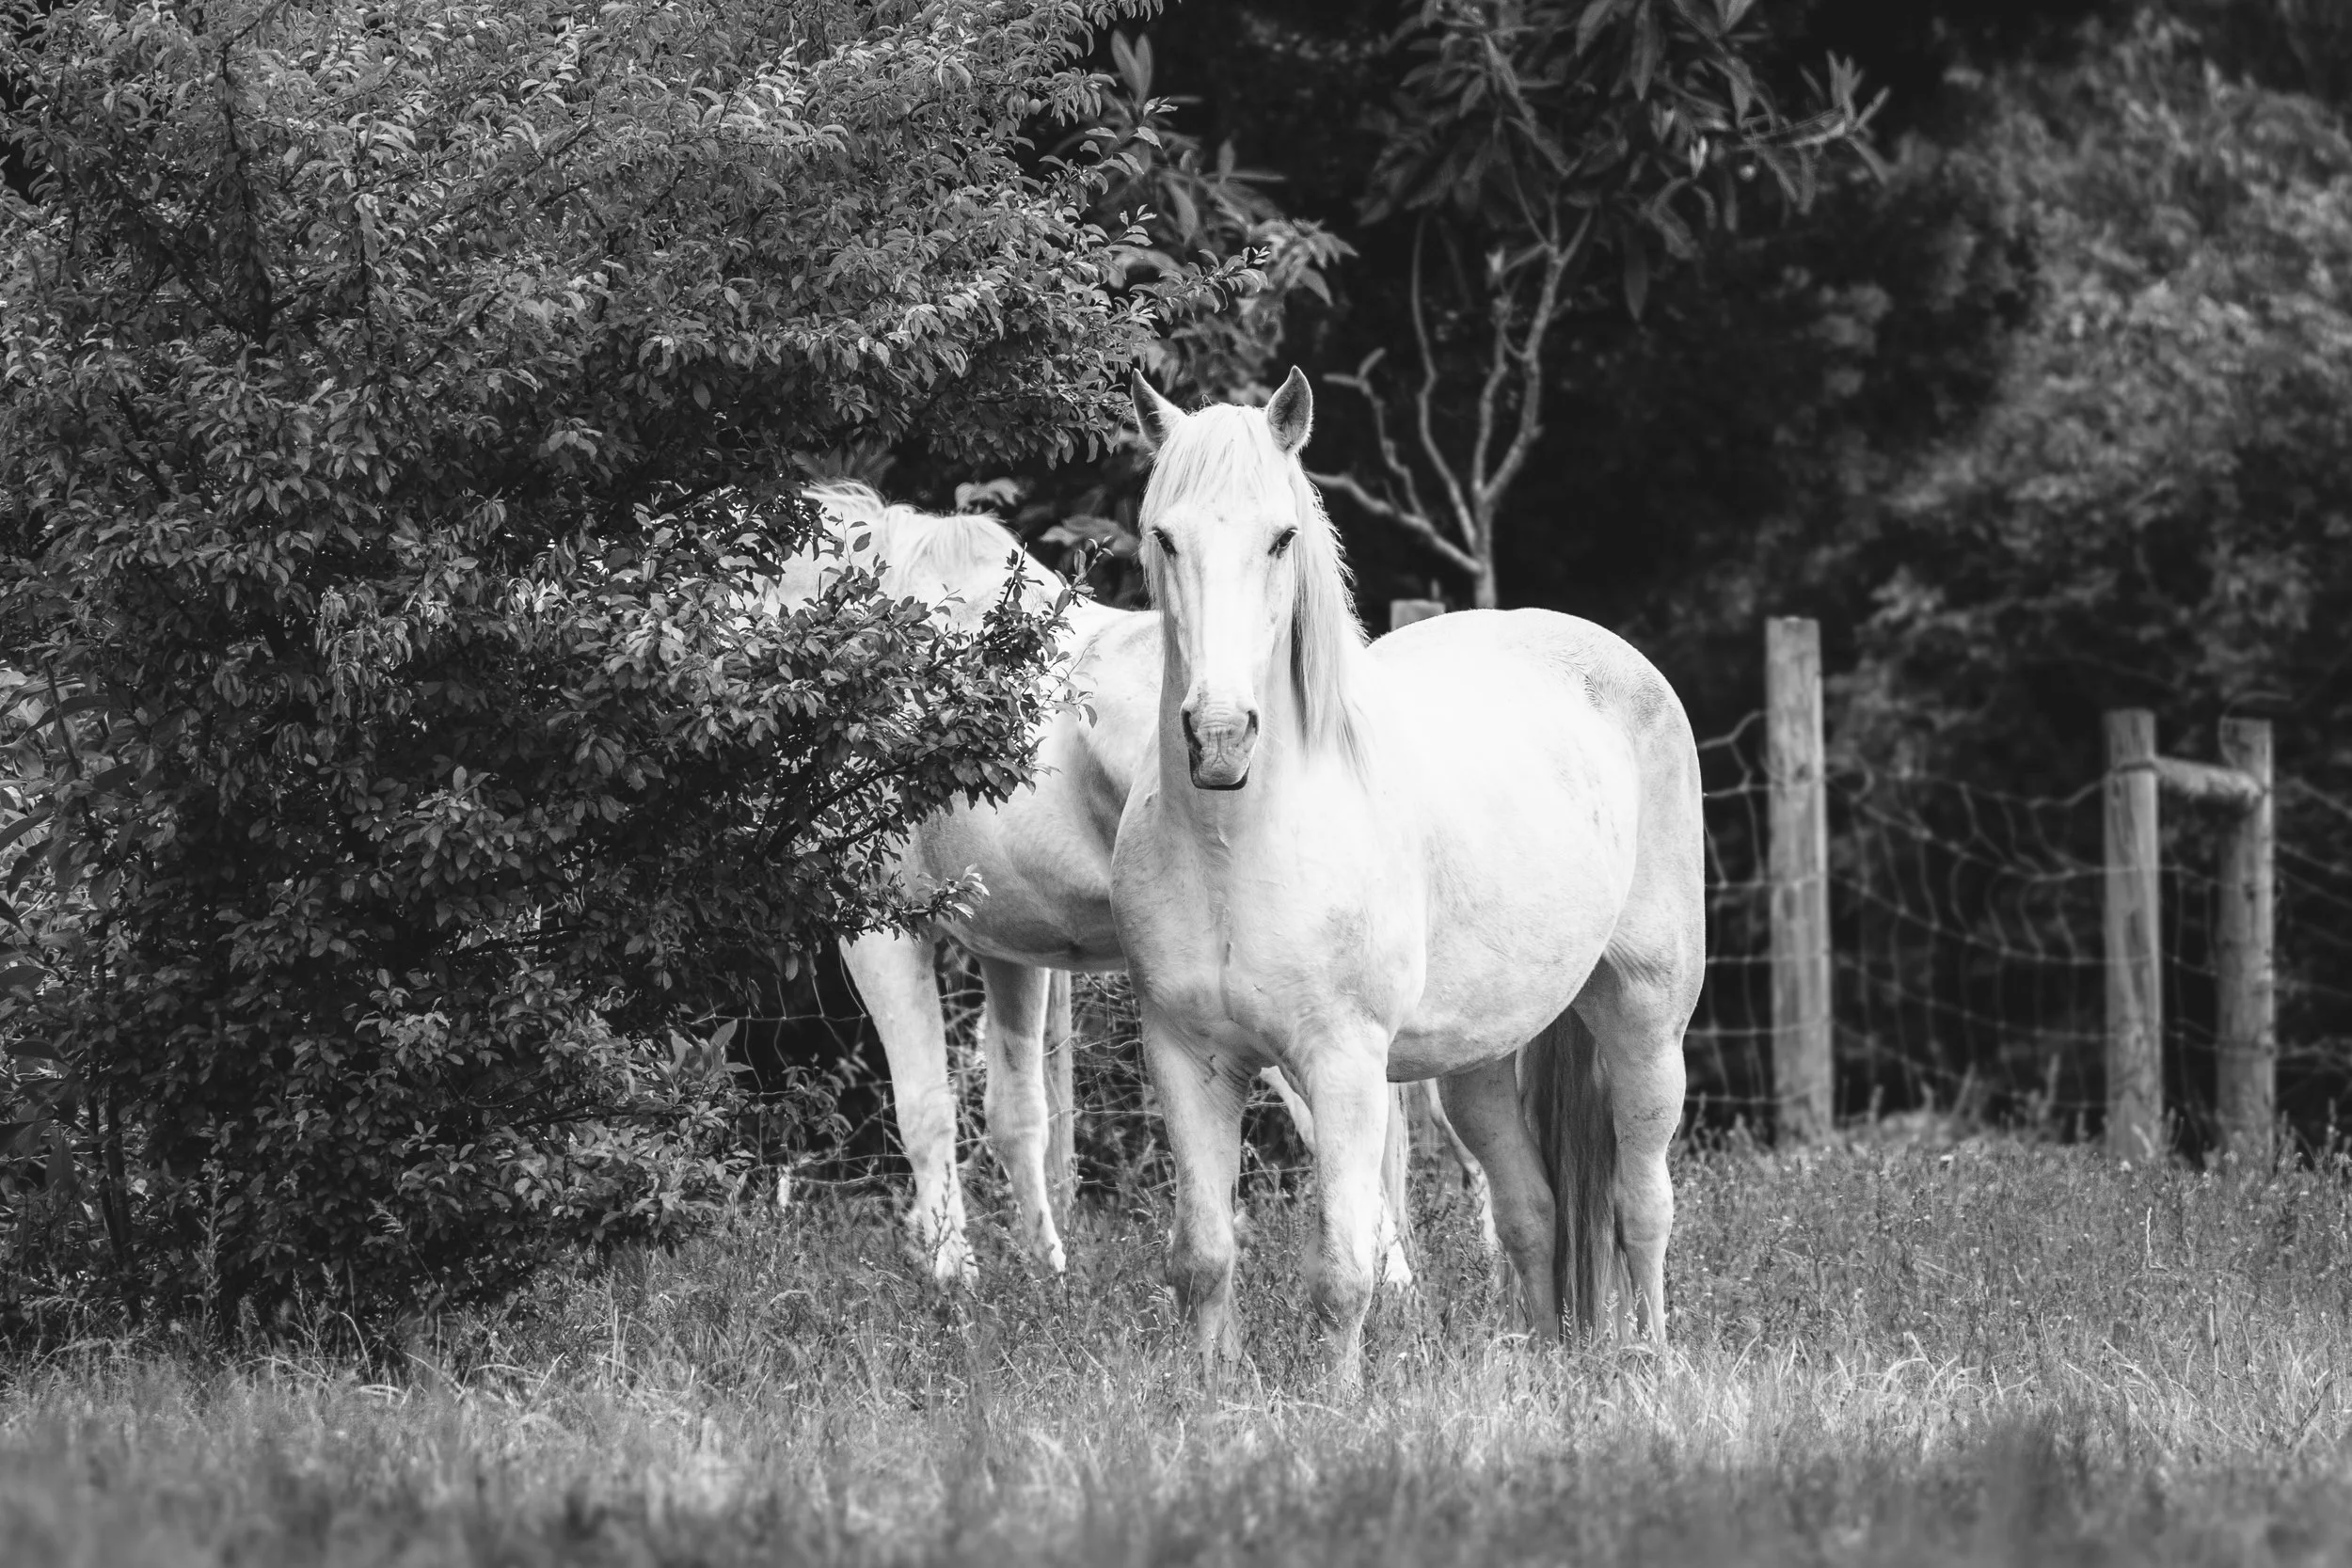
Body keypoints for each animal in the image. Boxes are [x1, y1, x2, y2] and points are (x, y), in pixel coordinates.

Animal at [781, 485, 1419, 1286]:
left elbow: (926, 1109)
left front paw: (952, 1273)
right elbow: (1018, 1114)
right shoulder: (1010, 950)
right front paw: (1046, 1270)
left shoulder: (882, 932)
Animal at [1108, 371, 1707, 1383]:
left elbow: (1344, 1269)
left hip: (1643, 1016)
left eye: (1281, 536)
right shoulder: (1188, 1057)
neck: (1240, 844)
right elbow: (1203, 1258)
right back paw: (1544, 1363)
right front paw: (1214, 1395)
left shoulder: (1343, 1063)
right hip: (1479, 1060)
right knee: (1532, 1210)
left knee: (1640, 1205)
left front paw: (1338, 1402)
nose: (1221, 736)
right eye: (1163, 534)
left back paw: (1650, 1361)